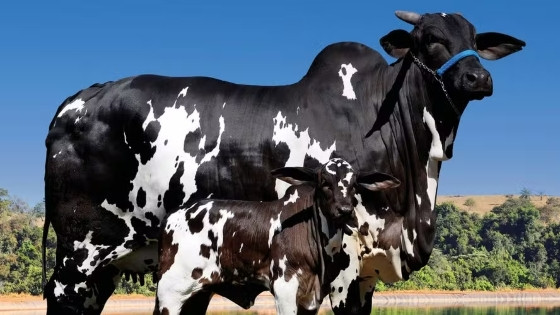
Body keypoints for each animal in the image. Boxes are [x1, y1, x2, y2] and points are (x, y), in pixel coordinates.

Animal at [153, 160, 398, 315]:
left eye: (354, 185)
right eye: (324, 183)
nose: (345, 210)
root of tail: (173, 215)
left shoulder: (310, 299)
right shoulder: (284, 288)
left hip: (198, 294)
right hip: (170, 292)